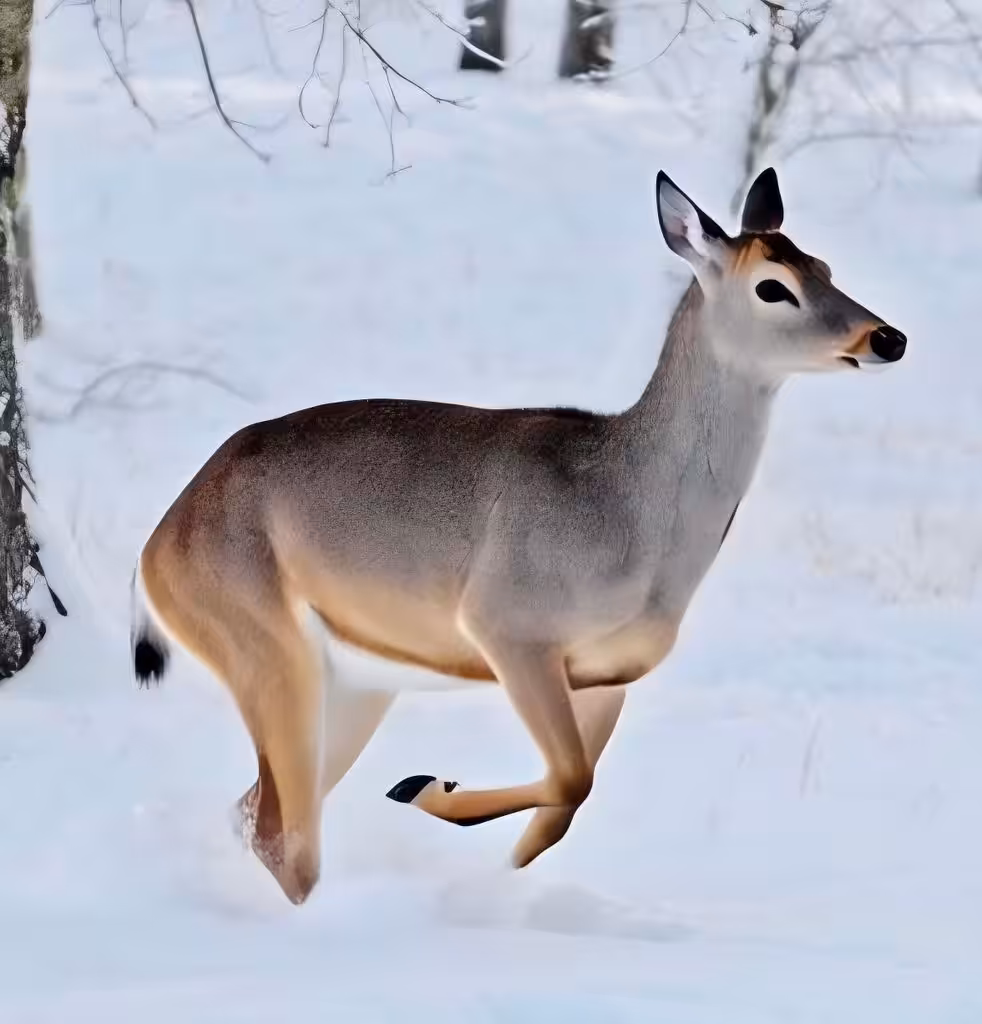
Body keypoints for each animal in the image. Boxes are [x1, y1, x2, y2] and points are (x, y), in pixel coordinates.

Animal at [131, 168, 906, 905]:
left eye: (824, 266)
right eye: (773, 287)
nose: (886, 338)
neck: (635, 518)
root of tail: (157, 546)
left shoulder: (610, 674)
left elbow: (564, 806)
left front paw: (459, 825)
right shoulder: (508, 625)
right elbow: (569, 780)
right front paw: (426, 790)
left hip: (354, 683)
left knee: (254, 811)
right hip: (264, 648)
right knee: (278, 829)